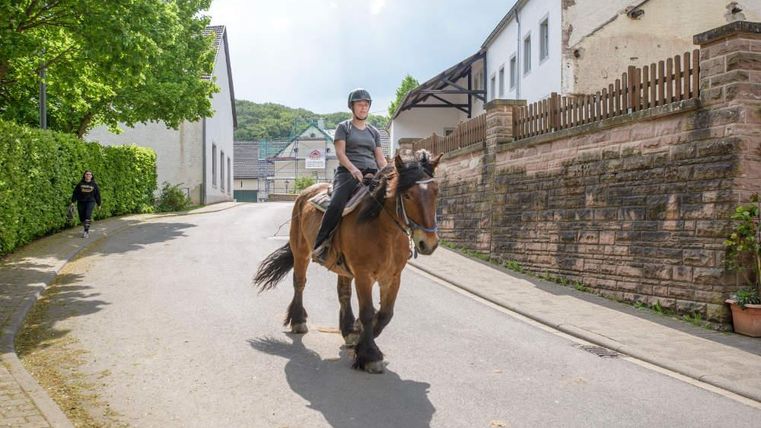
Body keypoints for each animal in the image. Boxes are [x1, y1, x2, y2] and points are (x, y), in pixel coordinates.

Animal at [254, 149, 442, 373]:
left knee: (343, 293)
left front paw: (360, 338)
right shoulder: (363, 275)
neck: (384, 230)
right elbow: (368, 312)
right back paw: (298, 321)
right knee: (299, 283)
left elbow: (385, 314)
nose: (428, 243)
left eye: (436, 191)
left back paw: (348, 329)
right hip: (301, 252)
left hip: (342, 267)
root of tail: (305, 193)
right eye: (407, 195)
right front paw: (369, 354)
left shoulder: (393, 277)